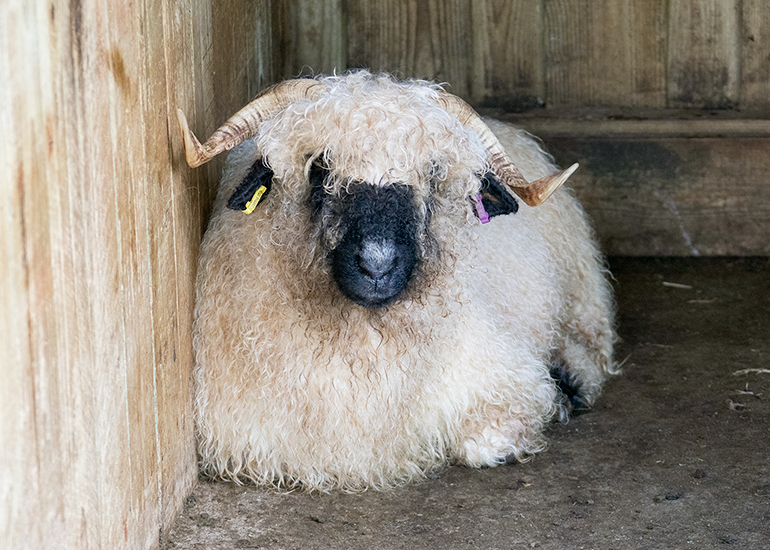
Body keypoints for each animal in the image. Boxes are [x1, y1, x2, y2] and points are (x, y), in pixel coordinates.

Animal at [177, 70, 616, 492]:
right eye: (319, 168)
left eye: (433, 175)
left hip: (580, 296)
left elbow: (487, 444)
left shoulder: (505, 383)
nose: (377, 266)